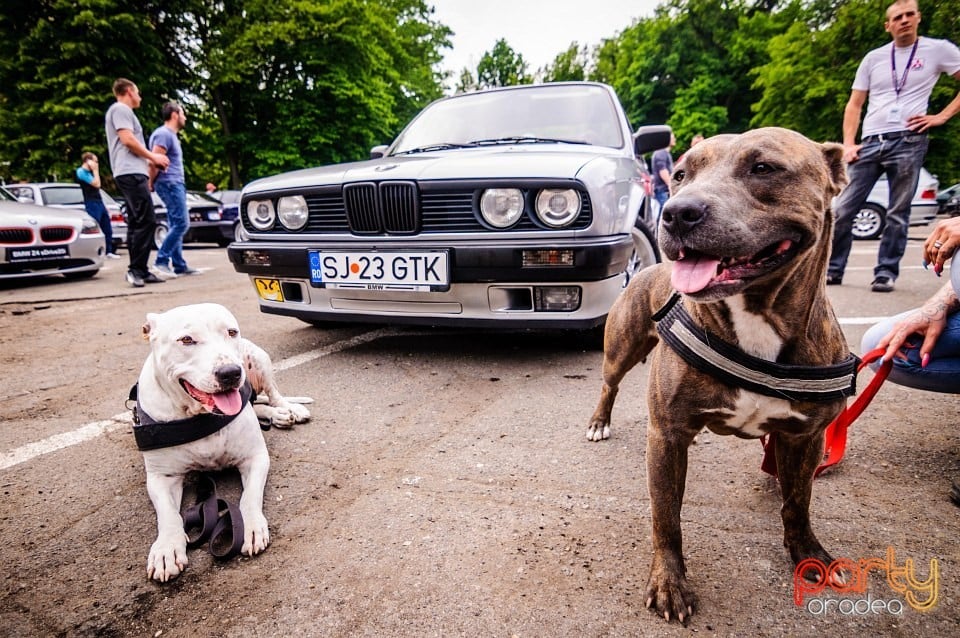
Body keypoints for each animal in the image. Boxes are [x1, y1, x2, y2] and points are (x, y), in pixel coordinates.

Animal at [132, 304, 308, 584]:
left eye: (231, 332)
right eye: (186, 340)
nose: (230, 372)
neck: (200, 416)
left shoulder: (255, 457)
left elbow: (250, 496)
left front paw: (249, 525)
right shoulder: (161, 477)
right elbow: (168, 514)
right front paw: (167, 548)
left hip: (259, 358)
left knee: (272, 394)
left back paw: (288, 410)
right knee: (257, 404)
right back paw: (277, 415)